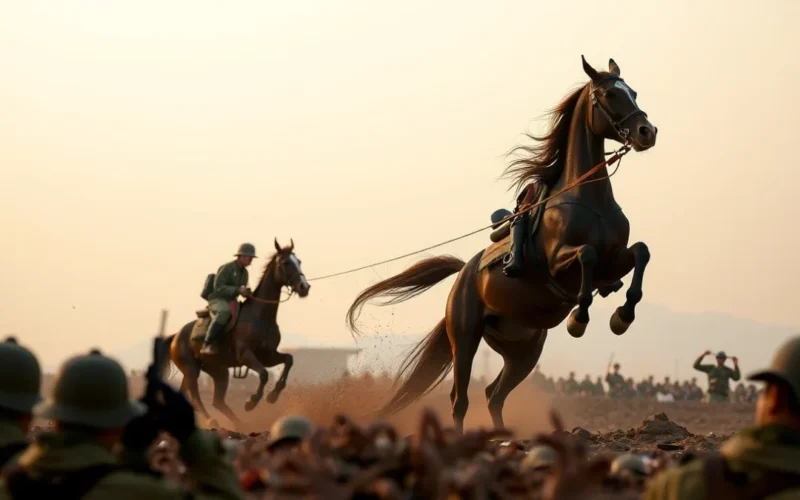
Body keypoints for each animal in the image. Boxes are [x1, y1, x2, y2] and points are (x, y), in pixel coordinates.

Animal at [159, 239, 310, 428]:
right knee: (195, 395)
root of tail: (176, 336)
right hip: (191, 369)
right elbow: (263, 374)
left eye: (299, 261)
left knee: (215, 401)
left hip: (217, 371)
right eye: (285, 262)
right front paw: (251, 402)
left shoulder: (268, 356)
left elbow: (288, 360)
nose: (304, 287)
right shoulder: (246, 355)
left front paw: (273, 395)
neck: (260, 316)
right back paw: (212, 420)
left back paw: (240, 424)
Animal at [346, 56, 658, 432]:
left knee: (493, 394)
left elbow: (640, 252)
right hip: (465, 337)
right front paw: (579, 319)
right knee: (461, 399)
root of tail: (463, 275)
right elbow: (586, 254)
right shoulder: (559, 264)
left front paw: (622, 316)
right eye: (611, 94)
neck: (588, 199)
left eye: (634, 92)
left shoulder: (613, 264)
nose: (647, 132)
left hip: (524, 350)